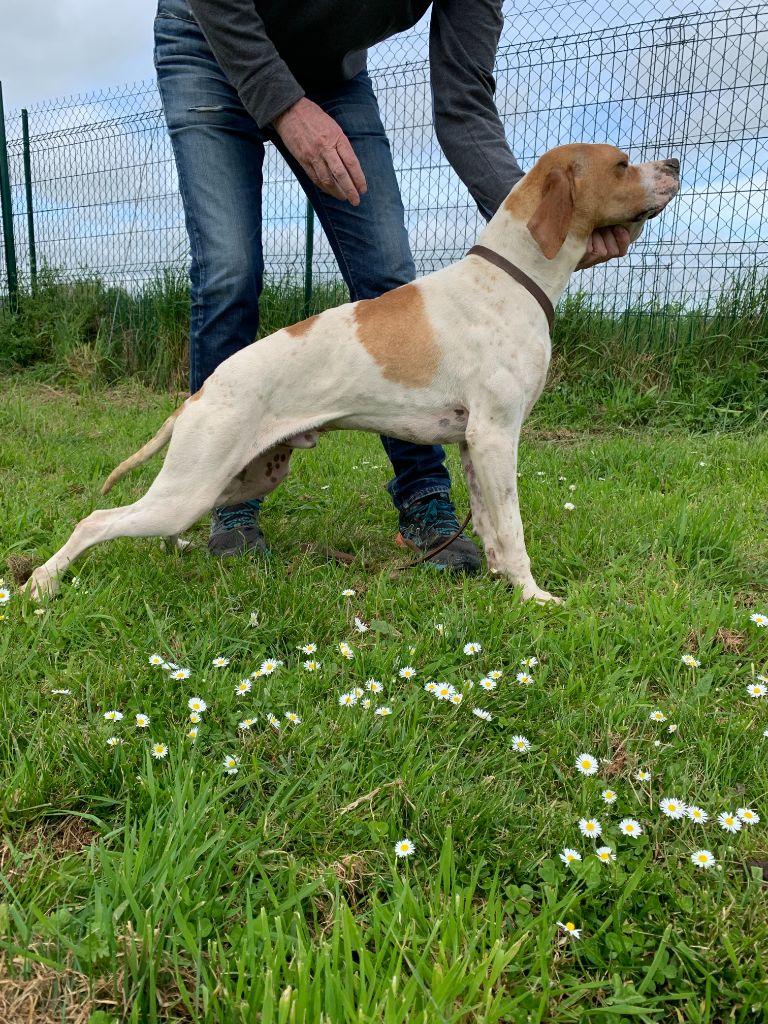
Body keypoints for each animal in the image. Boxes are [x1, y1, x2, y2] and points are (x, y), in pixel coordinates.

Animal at [25, 148, 679, 602]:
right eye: (622, 163)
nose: (674, 163)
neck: (513, 277)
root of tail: (201, 392)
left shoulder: (474, 445)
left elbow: (495, 530)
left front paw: (499, 582)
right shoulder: (497, 435)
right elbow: (515, 532)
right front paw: (534, 596)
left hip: (237, 480)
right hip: (189, 488)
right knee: (96, 520)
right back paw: (41, 584)